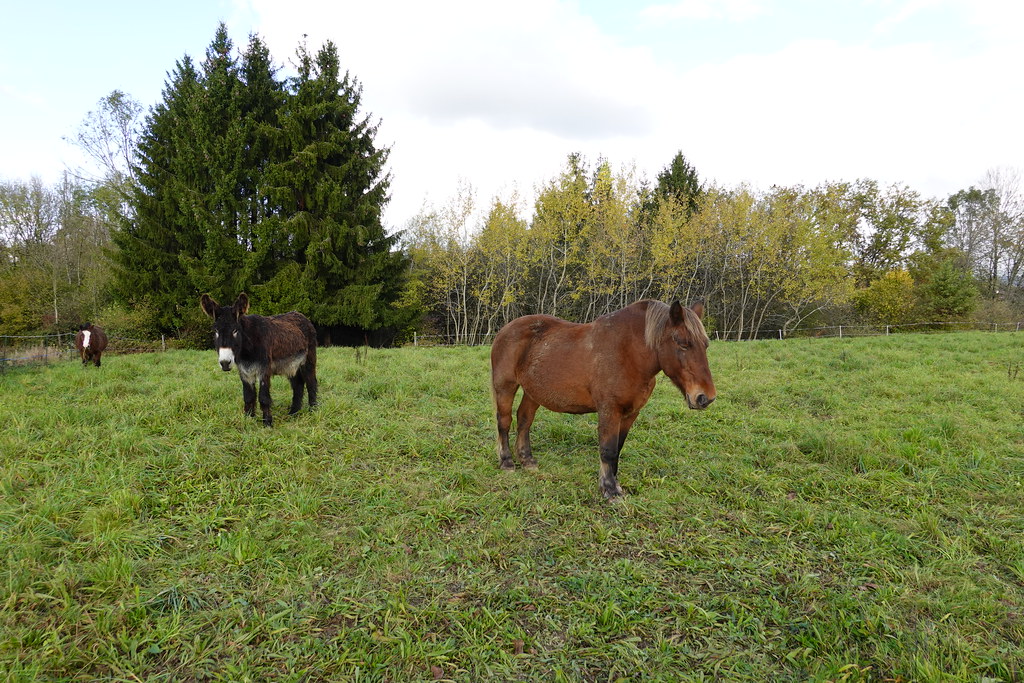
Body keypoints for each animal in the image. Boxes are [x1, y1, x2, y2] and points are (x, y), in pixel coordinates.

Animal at [200, 293, 318, 427]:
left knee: (311, 382)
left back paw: (313, 410)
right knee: (298, 385)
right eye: (215, 331)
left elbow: (263, 397)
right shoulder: (244, 371)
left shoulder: (264, 370)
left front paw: (267, 423)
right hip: (291, 365)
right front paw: (247, 419)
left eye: (235, 330)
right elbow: (248, 396)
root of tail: (302, 316)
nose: (225, 363)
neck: (247, 350)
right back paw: (293, 413)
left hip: (308, 360)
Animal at [490, 299, 716, 499]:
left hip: (533, 391)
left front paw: (614, 483)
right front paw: (609, 490)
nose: (705, 398)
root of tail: (504, 330)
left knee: (524, 420)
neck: (628, 353)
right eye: (682, 343)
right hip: (505, 387)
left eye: (706, 345)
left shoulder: (631, 413)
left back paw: (527, 460)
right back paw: (507, 462)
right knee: (504, 422)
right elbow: (608, 450)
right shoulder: (609, 410)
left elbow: (618, 448)